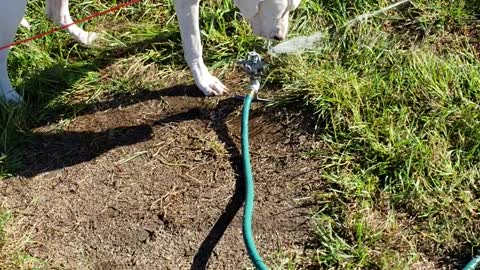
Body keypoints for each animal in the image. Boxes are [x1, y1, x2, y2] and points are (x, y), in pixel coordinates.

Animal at [0, 0, 300, 103]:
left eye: (292, 10)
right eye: (280, 10)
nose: (280, 38)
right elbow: (194, 45)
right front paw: (204, 81)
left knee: (56, 13)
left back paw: (86, 39)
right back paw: (9, 95)